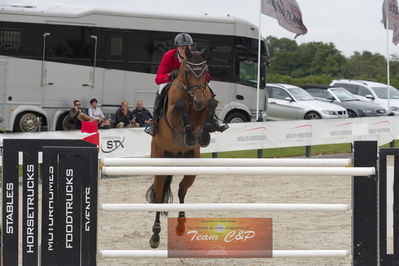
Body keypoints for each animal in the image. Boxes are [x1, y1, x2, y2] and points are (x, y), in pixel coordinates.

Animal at [145, 46, 219, 248]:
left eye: (205, 70)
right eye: (187, 71)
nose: (198, 101)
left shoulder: (203, 106)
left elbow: (211, 105)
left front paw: (203, 136)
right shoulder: (173, 115)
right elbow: (180, 107)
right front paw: (190, 134)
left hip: (190, 167)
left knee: (181, 190)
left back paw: (180, 225)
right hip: (159, 160)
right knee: (160, 196)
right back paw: (155, 236)